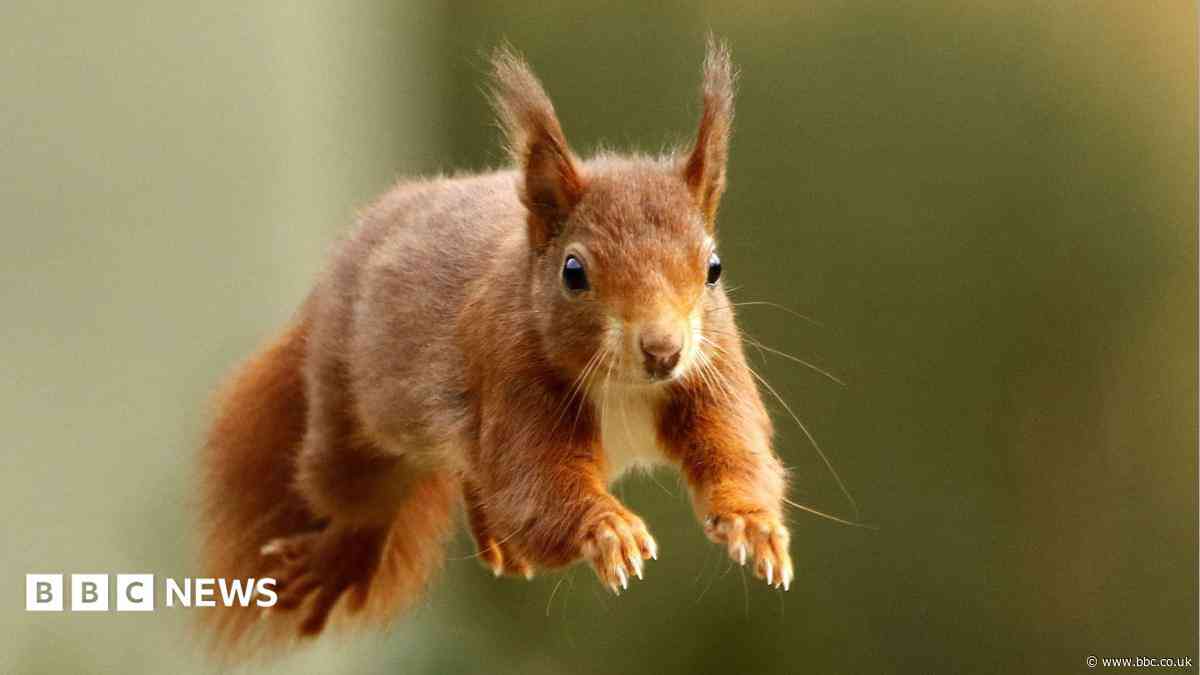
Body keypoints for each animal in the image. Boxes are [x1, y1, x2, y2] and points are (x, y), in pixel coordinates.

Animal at [199, 39, 791, 655]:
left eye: (714, 268)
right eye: (573, 272)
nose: (662, 349)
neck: (624, 387)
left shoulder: (712, 370)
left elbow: (736, 449)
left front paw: (754, 523)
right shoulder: (512, 372)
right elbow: (536, 491)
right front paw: (609, 530)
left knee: (474, 476)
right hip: (346, 418)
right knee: (363, 495)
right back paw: (339, 560)